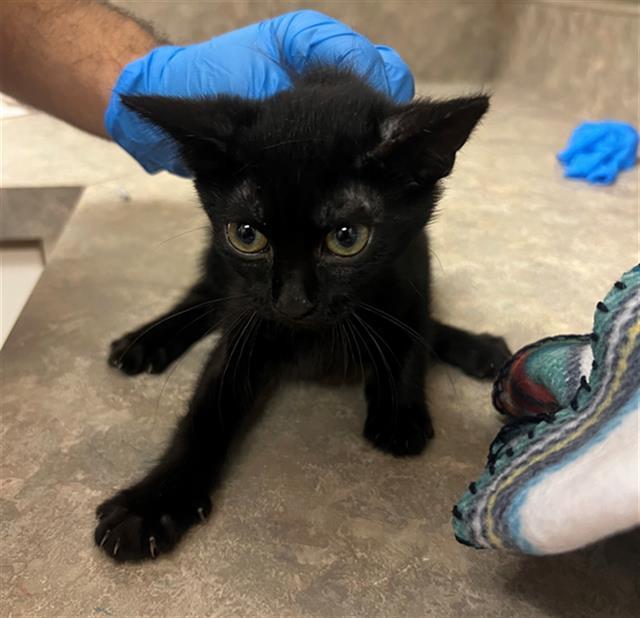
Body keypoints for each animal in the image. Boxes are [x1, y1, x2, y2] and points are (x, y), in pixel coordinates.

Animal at [95, 66, 510, 560]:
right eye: (247, 235)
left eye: (347, 238)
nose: (293, 303)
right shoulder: (249, 317)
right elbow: (208, 406)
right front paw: (153, 502)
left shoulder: (414, 263)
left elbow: (414, 325)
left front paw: (398, 405)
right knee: (203, 294)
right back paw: (145, 341)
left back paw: (478, 348)